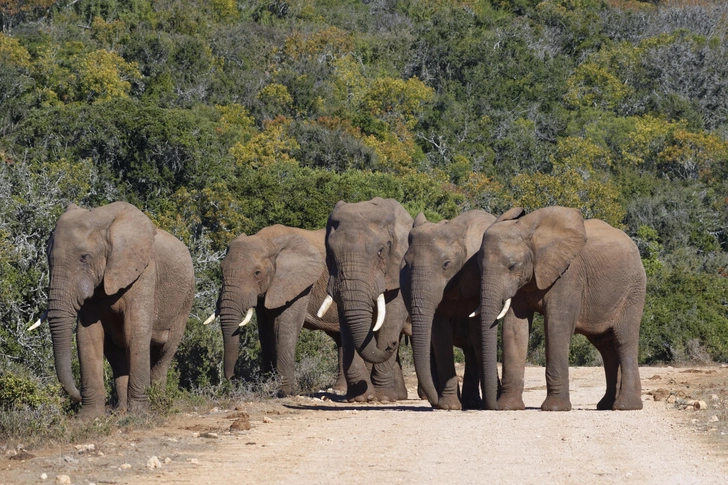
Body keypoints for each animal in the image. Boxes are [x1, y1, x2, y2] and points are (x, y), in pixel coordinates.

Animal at [42, 200, 193, 416]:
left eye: (84, 257)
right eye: (48, 258)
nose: (77, 395)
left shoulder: (144, 272)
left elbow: (134, 331)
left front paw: (140, 414)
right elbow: (88, 334)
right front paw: (88, 417)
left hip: (185, 300)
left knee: (165, 353)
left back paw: (157, 405)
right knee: (117, 356)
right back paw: (121, 411)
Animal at [202, 225, 344, 396]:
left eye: (257, 273)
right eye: (221, 270)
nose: (232, 378)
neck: (269, 241)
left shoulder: (301, 284)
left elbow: (284, 327)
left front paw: (285, 392)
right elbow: (265, 331)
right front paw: (266, 386)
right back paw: (339, 388)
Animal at [320, 197, 416, 400]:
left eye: (381, 251)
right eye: (330, 254)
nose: (391, 345)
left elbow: (390, 320)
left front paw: (384, 398)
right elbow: (347, 322)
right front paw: (361, 398)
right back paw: (399, 396)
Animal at [400, 210, 498, 410]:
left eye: (446, 264)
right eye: (407, 264)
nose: (434, 401)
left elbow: (477, 331)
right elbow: (440, 335)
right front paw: (449, 406)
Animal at [478, 206, 648, 410]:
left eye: (512, 266)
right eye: (478, 266)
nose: (493, 405)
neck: (532, 233)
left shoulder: (569, 274)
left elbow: (556, 326)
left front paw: (554, 408)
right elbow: (514, 328)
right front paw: (508, 407)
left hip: (633, 289)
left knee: (624, 340)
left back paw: (625, 406)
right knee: (606, 346)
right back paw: (606, 405)